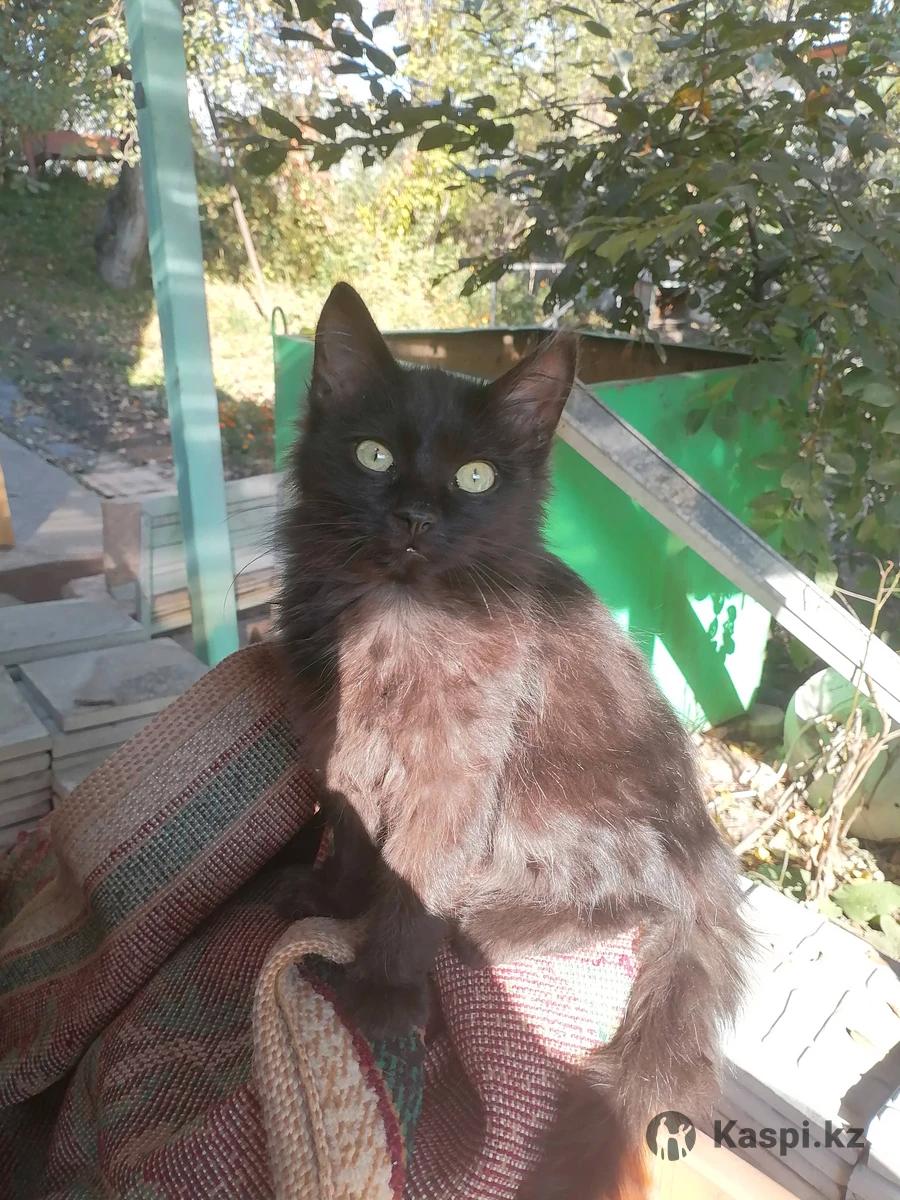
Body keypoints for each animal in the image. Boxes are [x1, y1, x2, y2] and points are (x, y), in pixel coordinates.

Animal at [275, 282, 752, 1198]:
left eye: (476, 476)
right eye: (373, 455)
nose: (415, 516)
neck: (398, 612)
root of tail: (704, 841)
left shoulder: (458, 770)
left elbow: (414, 877)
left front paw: (384, 992)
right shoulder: (341, 740)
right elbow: (351, 834)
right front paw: (328, 897)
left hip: (556, 796)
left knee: (634, 896)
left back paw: (478, 928)